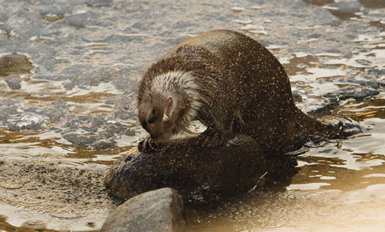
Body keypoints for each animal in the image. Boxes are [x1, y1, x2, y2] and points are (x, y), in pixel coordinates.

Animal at [136, 29, 340, 152]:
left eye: (153, 115)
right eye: (145, 124)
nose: (157, 135)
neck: (194, 71)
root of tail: (290, 108)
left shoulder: (220, 91)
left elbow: (224, 117)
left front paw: (211, 137)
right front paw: (148, 141)